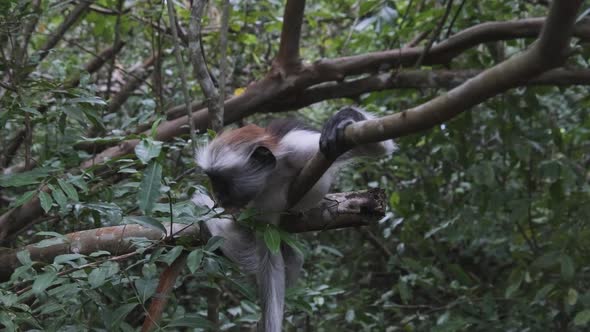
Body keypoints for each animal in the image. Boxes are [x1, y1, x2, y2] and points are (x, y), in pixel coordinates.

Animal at [195, 107, 398, 332]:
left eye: (222, 182)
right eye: (213, 180)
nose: (218, 198)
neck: (272, 177)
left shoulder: (302, 149)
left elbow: (377, 147)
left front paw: (345, 117)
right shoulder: (257, 207)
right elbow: (270, 261)